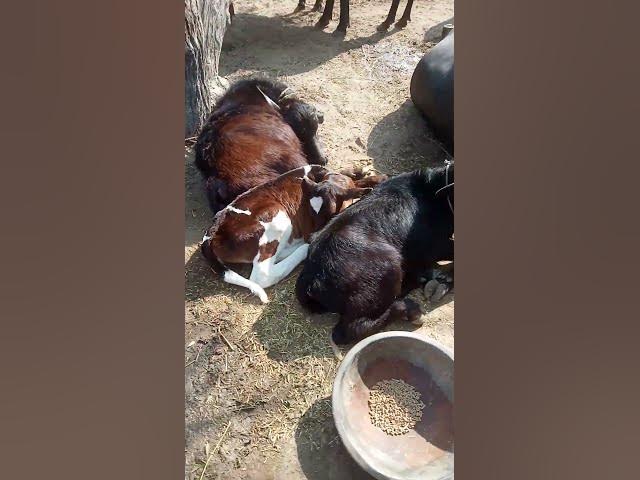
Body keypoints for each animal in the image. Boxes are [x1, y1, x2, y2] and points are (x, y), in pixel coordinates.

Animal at [200, 165, 388, 303]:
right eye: (312, 214)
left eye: (329, 212)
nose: (312, 235)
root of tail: (212, 232)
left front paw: (363, 172)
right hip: (277, 217)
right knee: (263, 275)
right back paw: (303, 249)